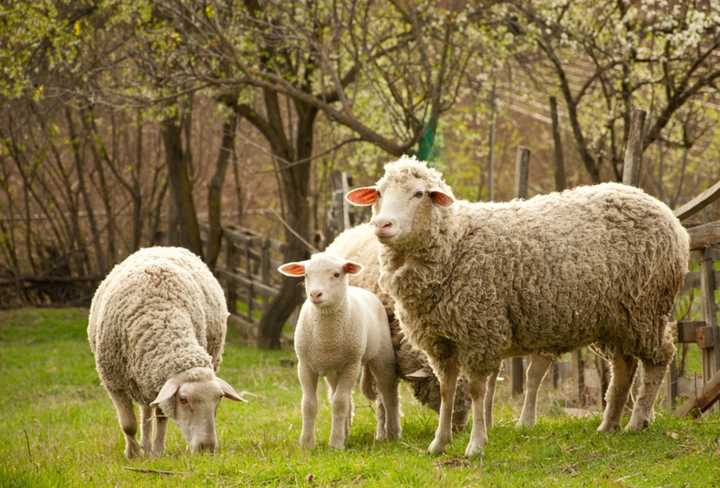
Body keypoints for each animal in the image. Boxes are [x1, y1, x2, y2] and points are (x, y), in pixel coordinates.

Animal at [86, 248, 245, 458]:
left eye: (219, 398)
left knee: (148, 410)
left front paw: (157, 452)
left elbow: (161, 417)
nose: (207, 449)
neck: (162, 316)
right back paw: (142, 446)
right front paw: (133, 454)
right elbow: (128, 425)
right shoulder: (114, 383)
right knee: (145, 411)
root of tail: (164, 246)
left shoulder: (160, 385)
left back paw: (148, 446)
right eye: (183, 400)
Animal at [280, 252, 402, 450]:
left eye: (337, 274)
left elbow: (339, 403)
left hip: (382, 357)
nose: (315, 294)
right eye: (306, 275)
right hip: (333, 371)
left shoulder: (351, 366)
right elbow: (309, 404)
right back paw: (346, 432)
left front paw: (336, 444)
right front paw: (307, 443)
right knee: (343, 397)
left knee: (388, 394)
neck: (326, 339)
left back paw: (393, 433)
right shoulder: (305, 366)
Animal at [348, 156, 692, 458]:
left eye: (419, 194)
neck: (454, 242)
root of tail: (666, 213)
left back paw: (638, 420)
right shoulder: (440, 341)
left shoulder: (479, 332)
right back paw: (608, 425)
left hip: (647, 309)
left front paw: (476, 445)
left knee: (659, 359)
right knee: (623, 367)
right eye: (378, 192)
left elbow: (477, 391)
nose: (382, 224)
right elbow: (447, 390)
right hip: (616, 319)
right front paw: (439, 444)